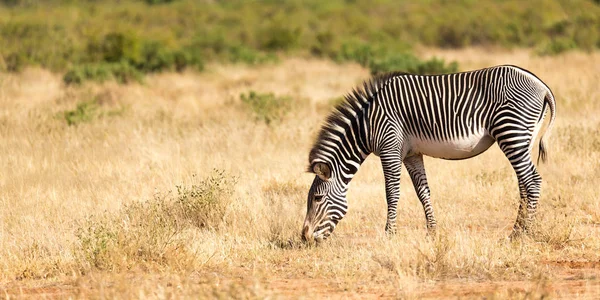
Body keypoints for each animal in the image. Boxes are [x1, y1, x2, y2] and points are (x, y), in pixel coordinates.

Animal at [302, 65, 556, 241]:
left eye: (317, 198)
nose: (304, 238)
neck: (366, 123)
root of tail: (541, 85)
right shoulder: (411, 154)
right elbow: (422, 192)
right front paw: (432, 232)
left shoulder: (389, 148)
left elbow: (391, 192)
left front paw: (389, 234)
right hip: (523, 138)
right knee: (523, 183)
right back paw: (521, 227)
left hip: (511, 132)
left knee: (532, 182)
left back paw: (520, 234)